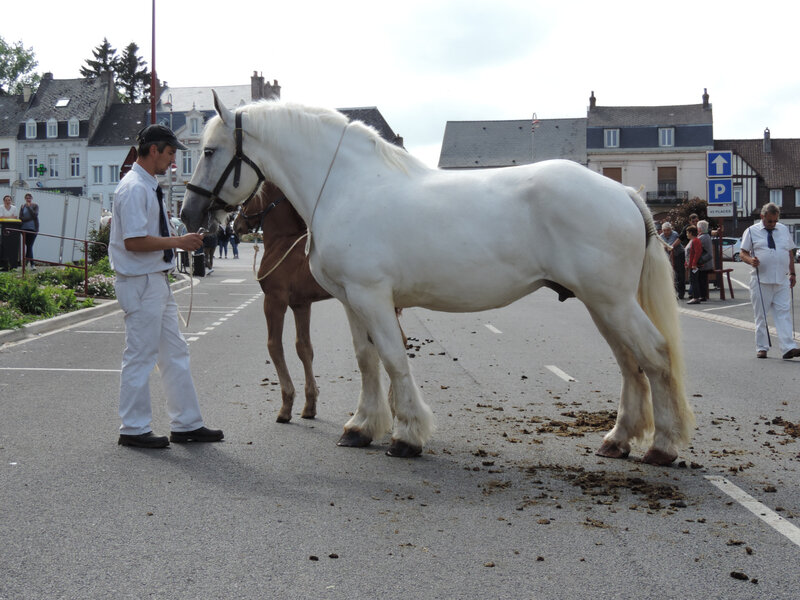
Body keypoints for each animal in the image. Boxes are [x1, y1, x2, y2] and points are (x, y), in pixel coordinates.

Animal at [234, 182, 332, 422]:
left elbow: (274, 346)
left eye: (248, 197)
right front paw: (310, 405)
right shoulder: (301, 305)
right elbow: (304, 347)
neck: (283, 243)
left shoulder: (274, 301)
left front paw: (286, 406)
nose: (235, 224)